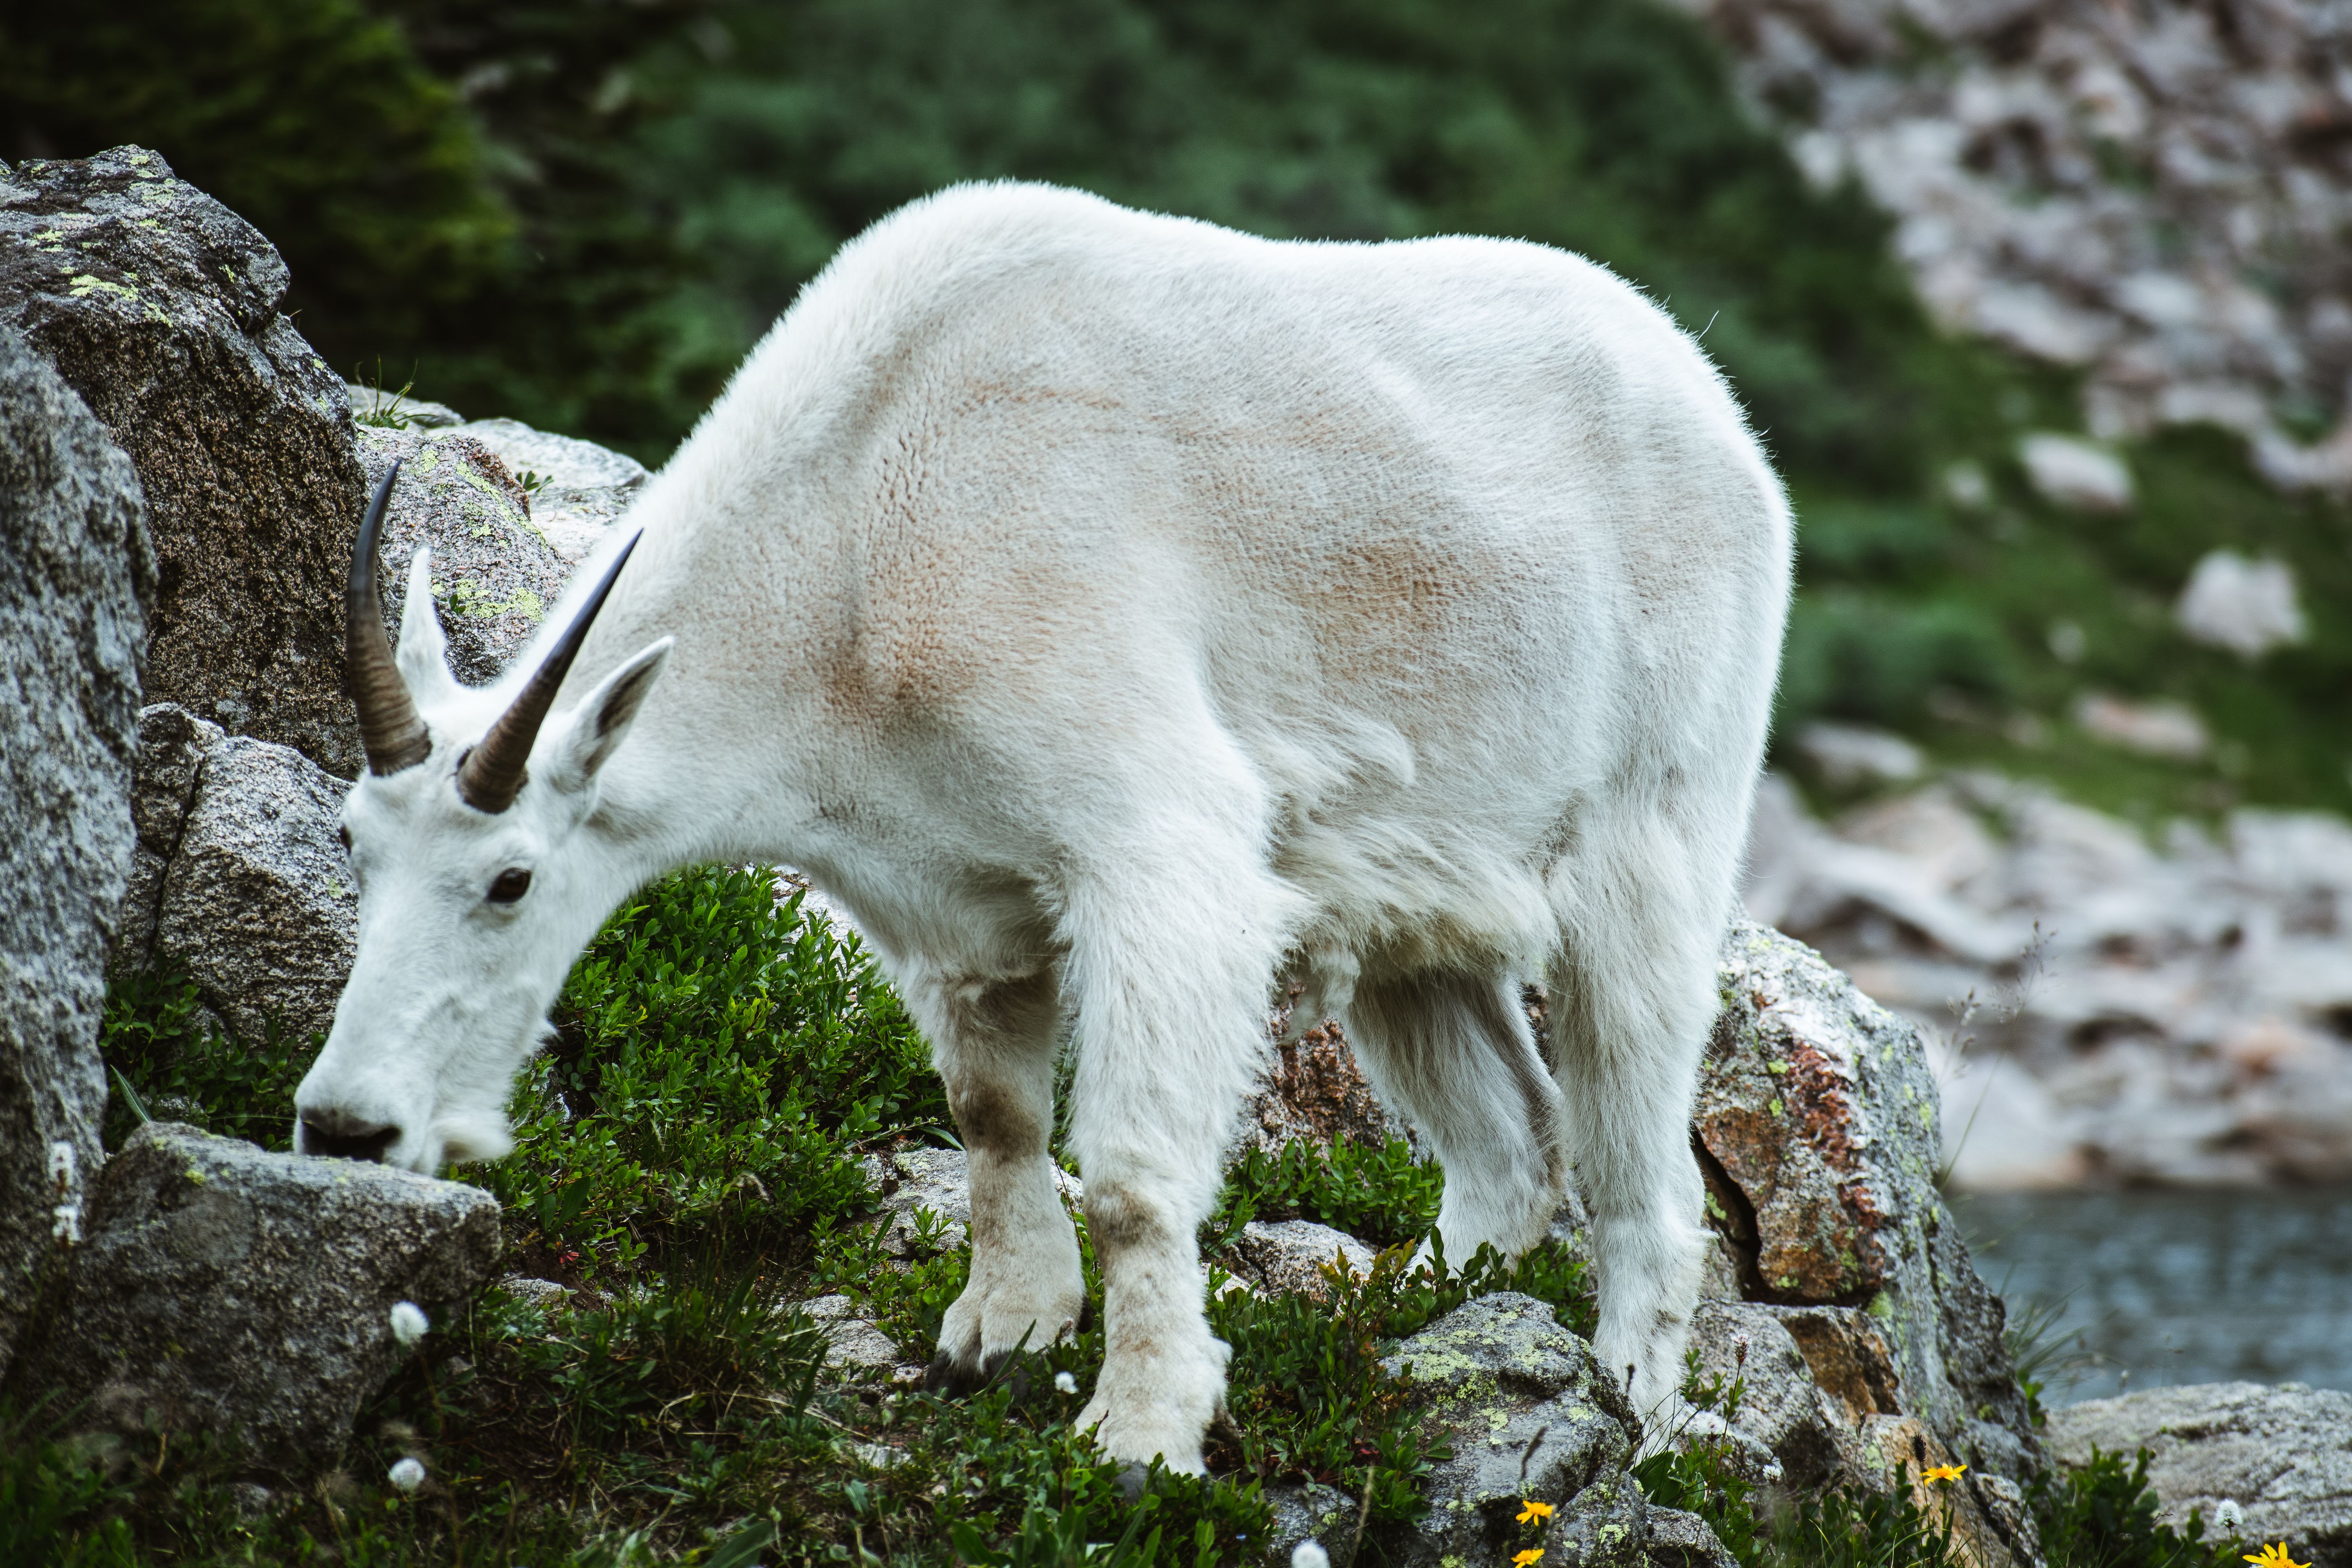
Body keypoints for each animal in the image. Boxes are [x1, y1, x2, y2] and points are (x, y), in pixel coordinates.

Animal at [294, 181, 1791, 1473]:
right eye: (355, 848)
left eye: (511, 881)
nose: (347, 1126)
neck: (849, 558)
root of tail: (1722, 415)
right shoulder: (952, 895)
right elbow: (995, 1112)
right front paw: (1003, 1331)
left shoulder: (1156, 856)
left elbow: (1128, 1173)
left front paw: (1143, 1431)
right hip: (1413, 889)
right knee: (1502, 1141)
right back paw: (1402, 1326)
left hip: (1655, 830)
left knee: (1643, 1159)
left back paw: (1635, 1400)